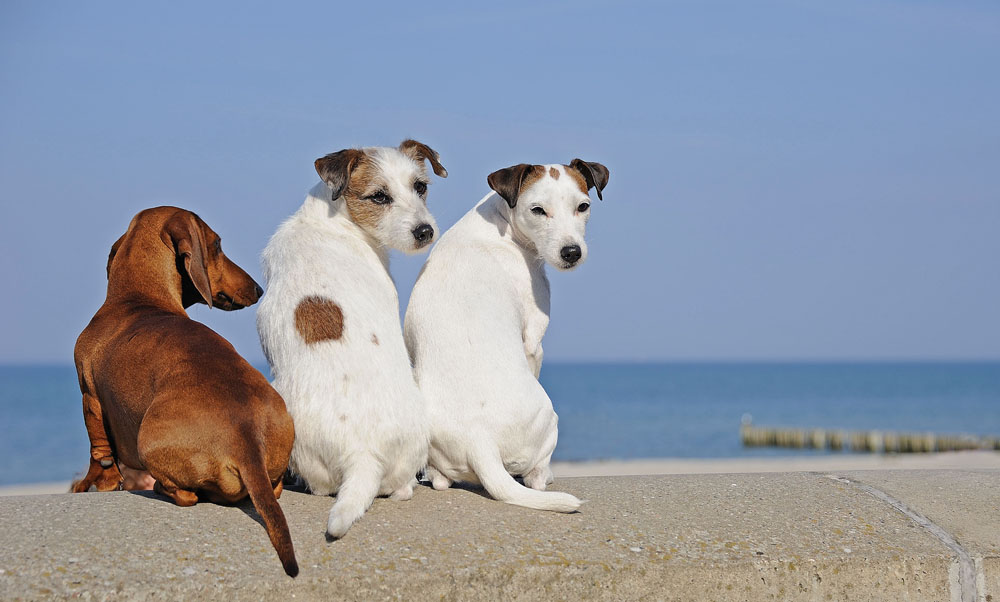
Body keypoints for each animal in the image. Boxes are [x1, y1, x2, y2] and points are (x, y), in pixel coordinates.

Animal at [404, 158, 608, 510]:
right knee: (536, 476)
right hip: (549, 420)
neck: (502, 224)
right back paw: (545, 476)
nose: (572, 252)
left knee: (442, 479)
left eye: (583, 206)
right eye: (538, 210)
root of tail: (479, 440)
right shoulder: (533, 343)